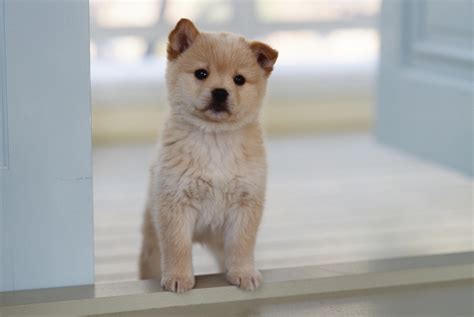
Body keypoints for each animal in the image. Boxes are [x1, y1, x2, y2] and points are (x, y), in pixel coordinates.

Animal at [137, 18, 278, 292]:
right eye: (201, 73)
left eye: (239, 79)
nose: (220, 92)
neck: (215, 141)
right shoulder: (176, 204)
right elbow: (177, 247)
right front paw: (178, 277)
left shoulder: (245, 204)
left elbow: (242, 245)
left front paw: (243, 272)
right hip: (152, 244)